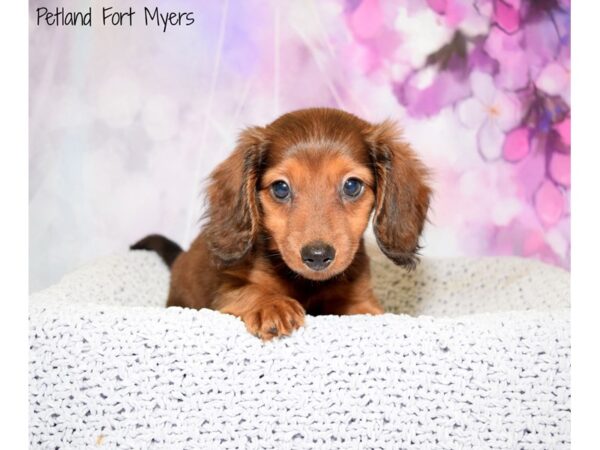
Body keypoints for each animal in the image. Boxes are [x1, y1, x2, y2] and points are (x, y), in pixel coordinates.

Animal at [132, 108, 432, 342]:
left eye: (352, 186)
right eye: (280, 188)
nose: (317, 256)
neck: (308, 285)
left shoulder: (361, 297)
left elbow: (367, 312)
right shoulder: (225, 294)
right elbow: (248, 291)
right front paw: (271, 306)